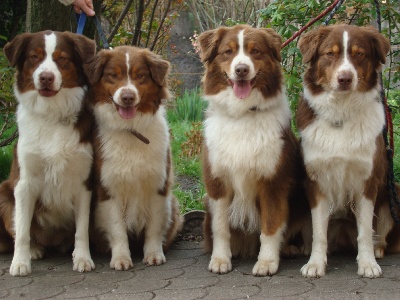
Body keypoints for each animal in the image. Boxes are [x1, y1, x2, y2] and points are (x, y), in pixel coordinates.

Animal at [0, 30, 96, 276]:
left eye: (62, 58)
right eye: (34, 57)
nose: (45, 77)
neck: (52, 115)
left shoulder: (84, 182)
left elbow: (82, 229)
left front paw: (82, 258)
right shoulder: (24, 183)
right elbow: (22, 230)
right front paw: (20, 262)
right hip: (4, 192)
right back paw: (34, 249)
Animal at [87, 45, 183, 270]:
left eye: (140, 76)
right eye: (113, 75)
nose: (128, 97)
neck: (131, 130)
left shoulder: (158, 185)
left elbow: (154, 227)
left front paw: (154, 254)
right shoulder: (108, 188)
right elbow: (117, 228)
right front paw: (121, 258)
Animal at [199, 24, 310, 276]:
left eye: (255, 51)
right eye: (228, 52)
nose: (241, 69)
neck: (243, 114)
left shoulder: (273, 181)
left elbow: (271, 225)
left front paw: (267, 262)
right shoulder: (217, 182)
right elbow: (220, 227)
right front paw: (220, 259)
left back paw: (290, 248)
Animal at [294, 24, 400, 278]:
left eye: (359, 54)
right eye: (330, 54)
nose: (345, 78)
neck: (341, 113)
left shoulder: (367, 182)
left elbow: (365, 231)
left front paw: (368, 263)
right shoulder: (316, 182)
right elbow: (319, 233)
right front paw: (315, 263)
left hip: (393, 191)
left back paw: (378, 250)